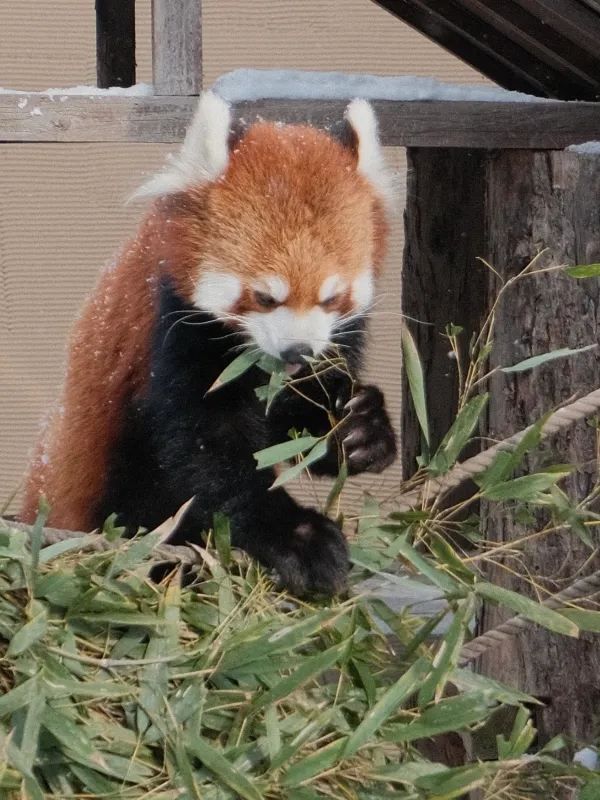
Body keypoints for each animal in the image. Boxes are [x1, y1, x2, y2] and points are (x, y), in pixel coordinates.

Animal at [21, 92, 398, 592]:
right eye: (265, 297)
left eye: (331, 297)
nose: (296, 351)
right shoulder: (174, 331)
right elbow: (204, 452)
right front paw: (298, 536)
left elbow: (295, 419)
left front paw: (359, 429)